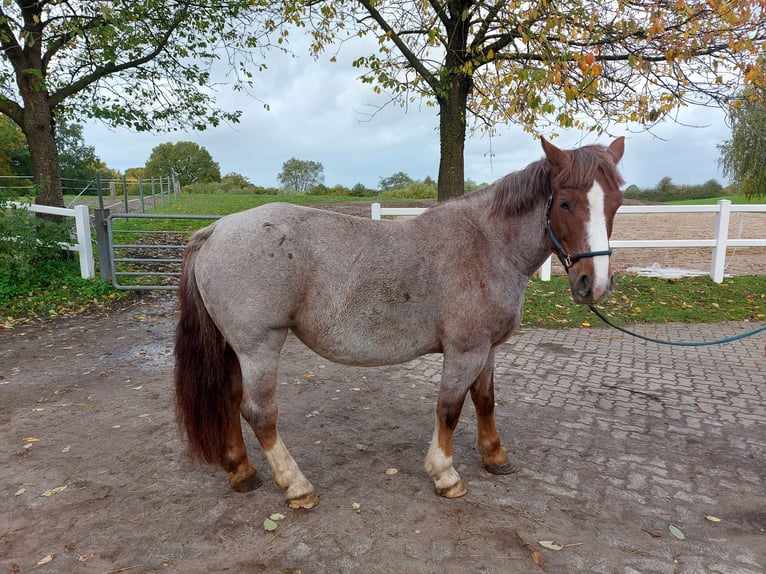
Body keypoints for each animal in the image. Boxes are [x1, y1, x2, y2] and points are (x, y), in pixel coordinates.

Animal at [174, 137, 625, 509]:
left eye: (616, 202)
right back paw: (296, 485)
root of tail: (215, 230)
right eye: (564, 202)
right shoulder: (465, 351)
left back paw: (243, 472)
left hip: (236, 348)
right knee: (258, 412)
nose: (594, 285)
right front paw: (445, 474)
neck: (487, 245)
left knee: (229, 401)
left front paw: (495, 456)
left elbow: (485, 400)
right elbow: (449, 408)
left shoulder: (488, 348)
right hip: (260, 346)